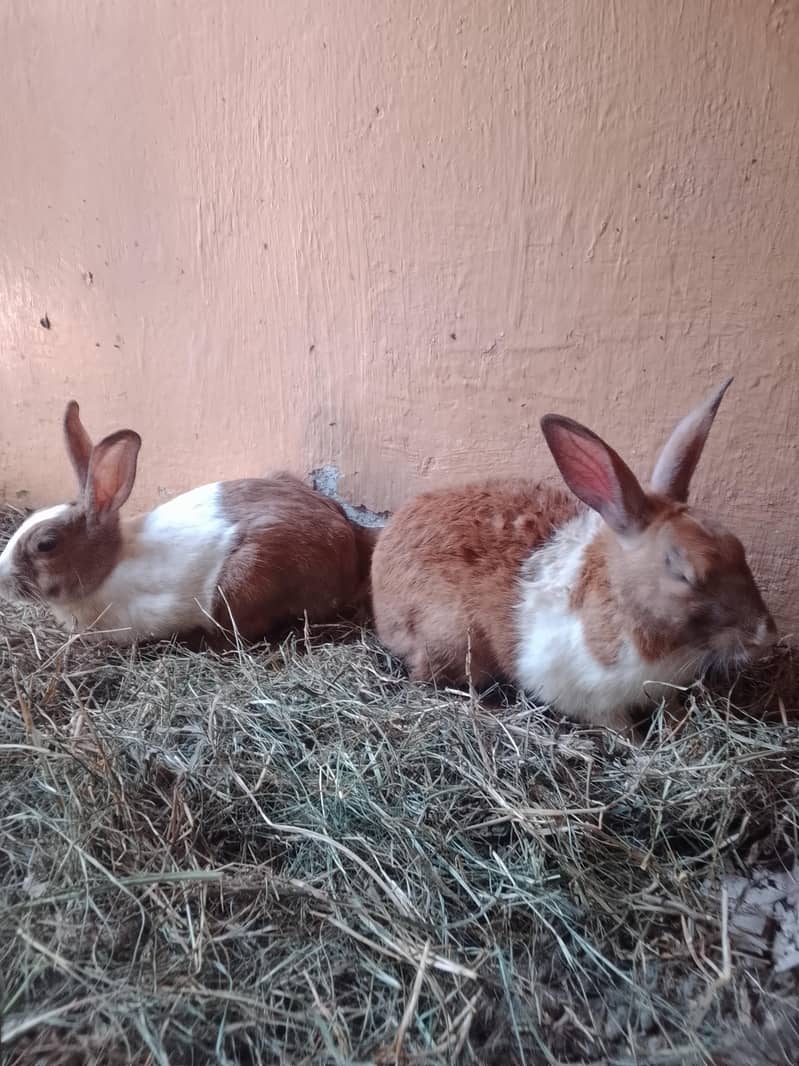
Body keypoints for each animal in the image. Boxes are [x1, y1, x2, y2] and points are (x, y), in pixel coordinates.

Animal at [371, 378, 777, 730]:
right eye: (684, 574)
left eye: (739, 547)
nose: (765, 637)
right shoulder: (588, 697)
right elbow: (616, 727)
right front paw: (633, 744)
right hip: (453, 640)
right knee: (429, 679)